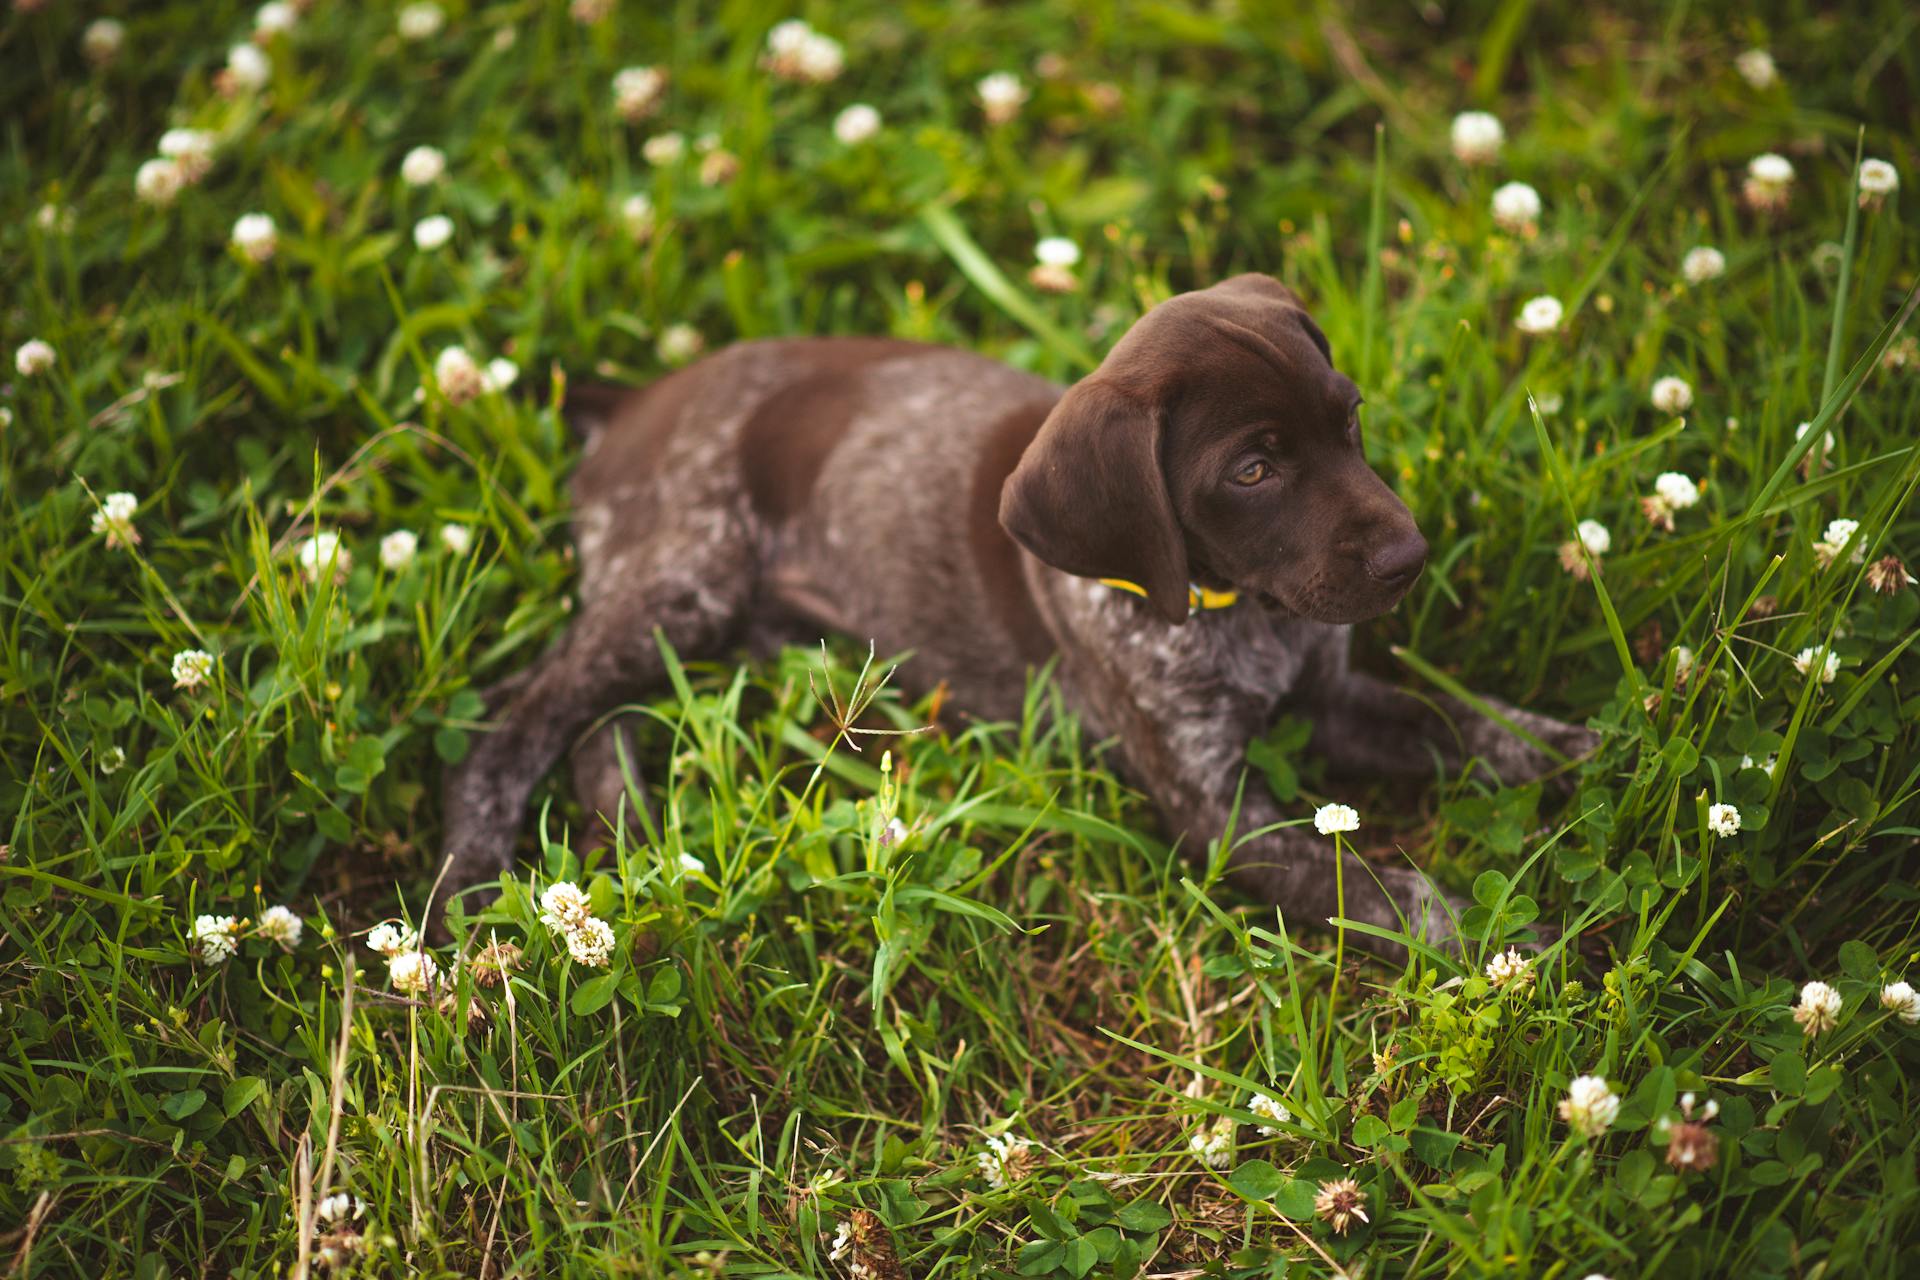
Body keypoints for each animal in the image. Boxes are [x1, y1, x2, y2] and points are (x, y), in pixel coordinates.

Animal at [441, 272, 1597, 940]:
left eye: (1347, 417)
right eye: (1254, 470)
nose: (1410, 555)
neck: (1235, 606)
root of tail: (633, 401)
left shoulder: (1336, 701)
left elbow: (1475, 727)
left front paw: (1597, 749)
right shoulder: (1218, 819)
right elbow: (1381, 890)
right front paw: (1503, 943)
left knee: (598, 725)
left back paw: (643, 842)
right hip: (684, 578)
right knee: (517, 718)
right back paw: (472, 883)